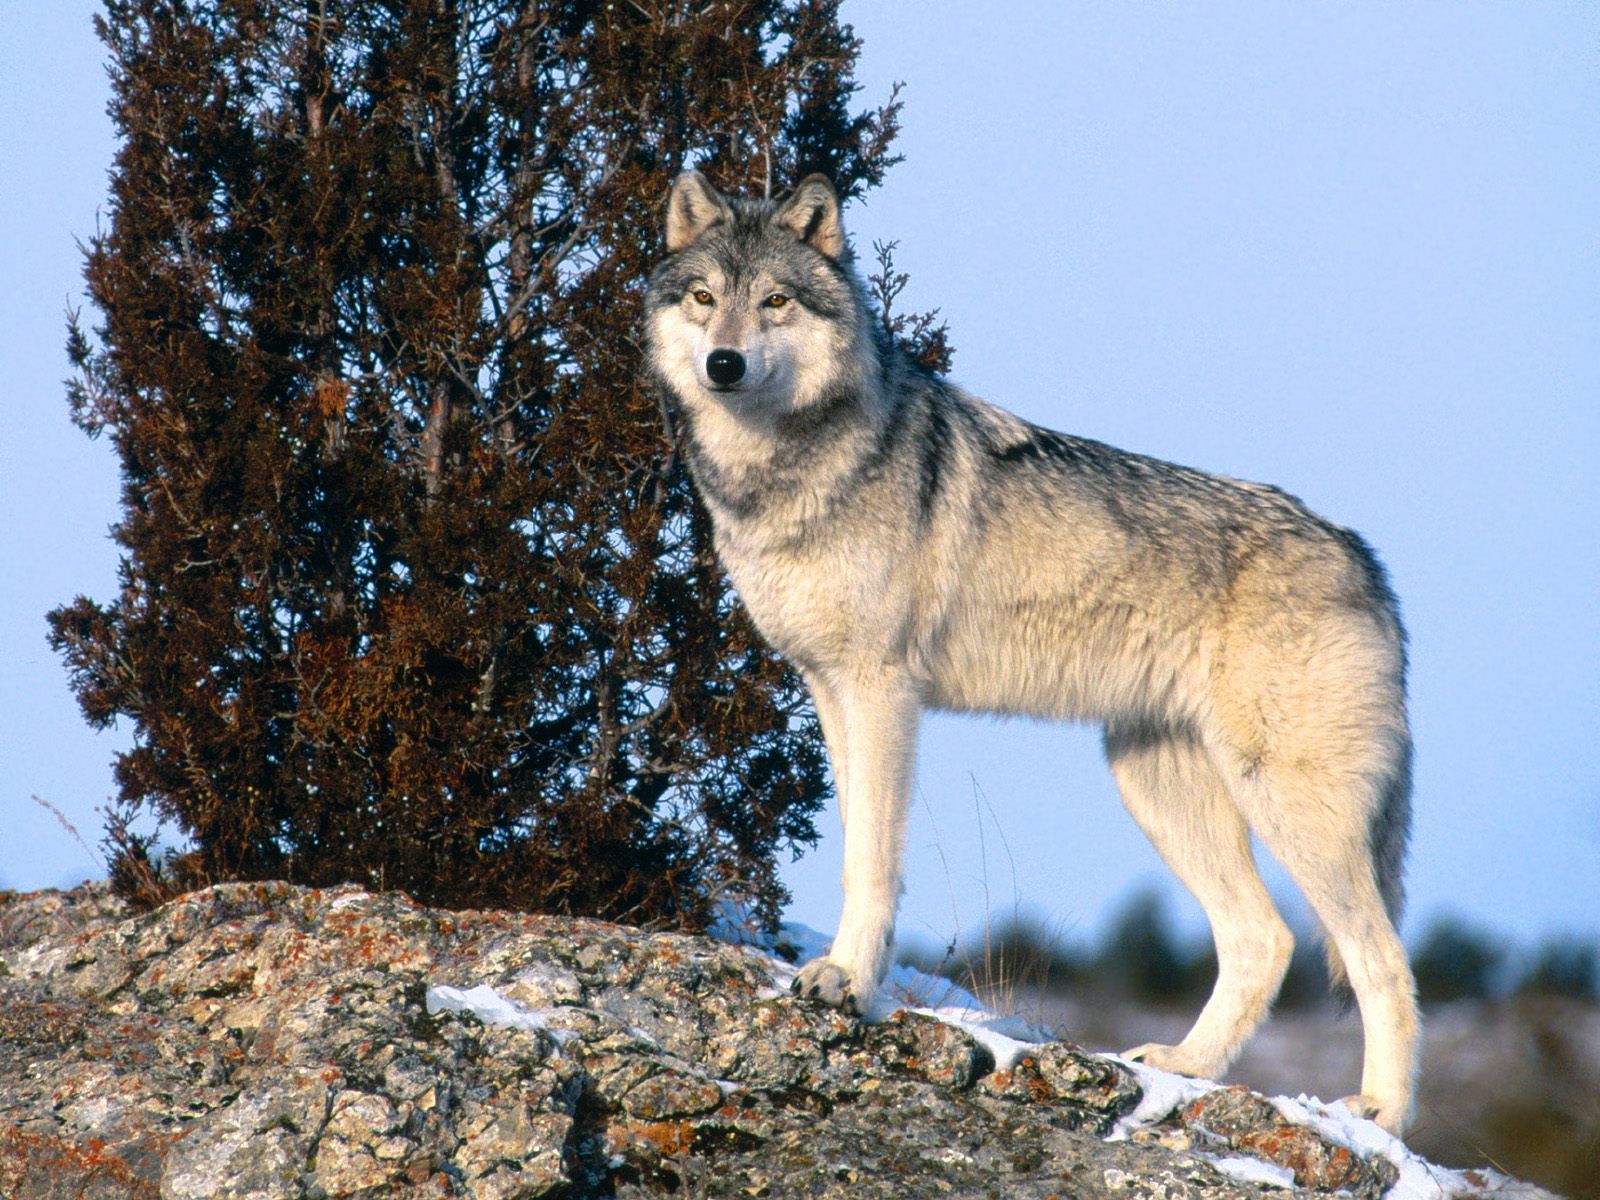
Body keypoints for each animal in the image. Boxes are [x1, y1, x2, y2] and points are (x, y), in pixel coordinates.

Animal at [643, 171, 1420, 1134]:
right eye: (705, 298)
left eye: (775, 302)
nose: (724, 364)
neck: (784, 470)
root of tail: (1365, 558)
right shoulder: (829, 690)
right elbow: (856, 848)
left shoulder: (883, 691)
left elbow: (873, 862)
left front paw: (847, 985)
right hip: (1154, 785)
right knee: (1264, 939)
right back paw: (1183, 1068)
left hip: (1286, 804)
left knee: (1383, 958)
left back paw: (1379, 1112)